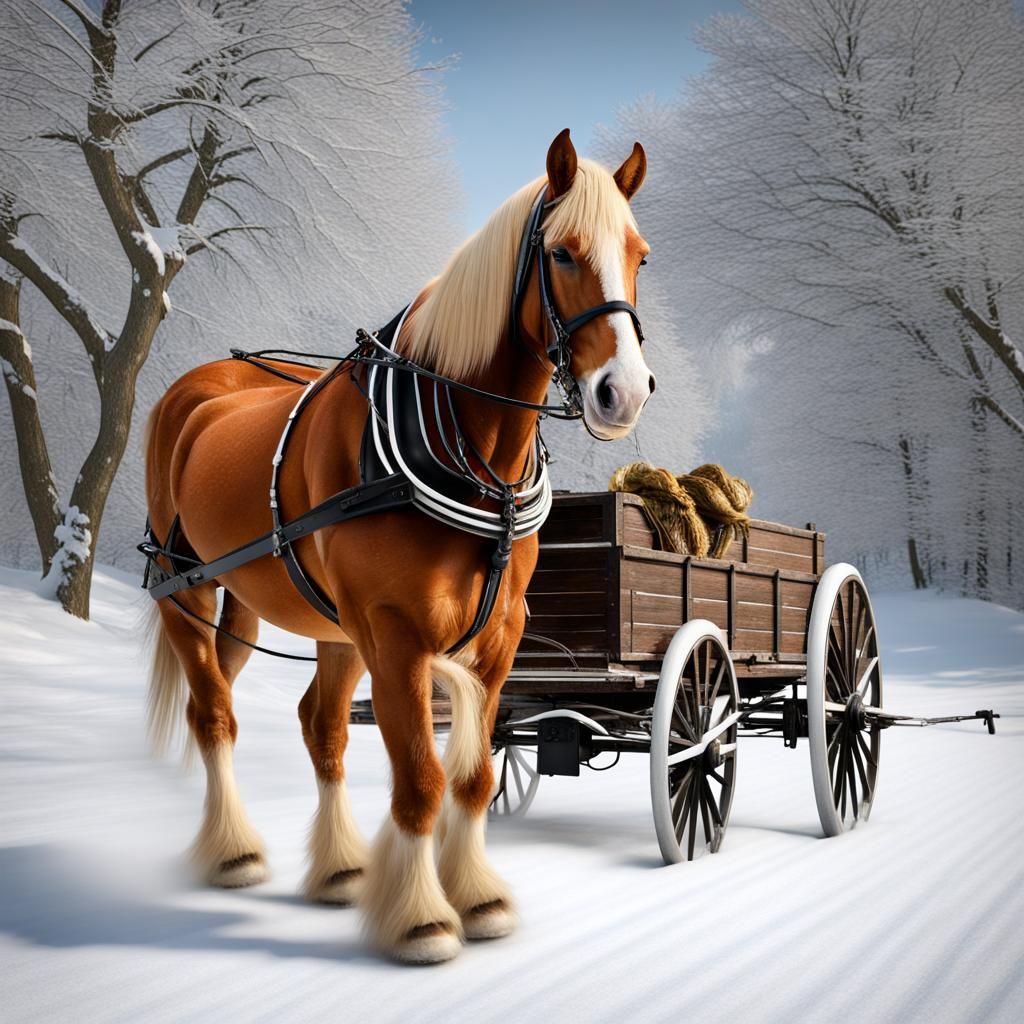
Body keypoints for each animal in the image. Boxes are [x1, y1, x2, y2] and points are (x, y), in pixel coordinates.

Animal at [143, 128, 654, 964]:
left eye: (640, 254)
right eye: (563, 253)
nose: (626, 391)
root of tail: (195, 387)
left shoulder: (496, 640)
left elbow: (472, 779)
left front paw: (476, 896)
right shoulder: (397, 634)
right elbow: (421, 780)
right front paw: (422, 917)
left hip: (292, 616)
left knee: (319, 725)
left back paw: (339, 869)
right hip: (188, 590)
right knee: (214, 714)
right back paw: (235, 851)